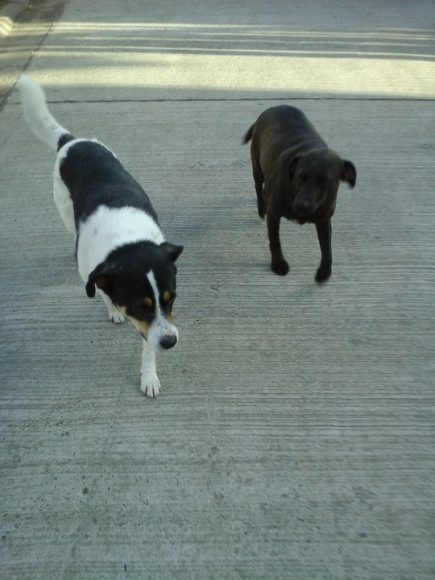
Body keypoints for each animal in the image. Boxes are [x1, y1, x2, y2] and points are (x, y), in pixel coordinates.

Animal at [17, 73, 182, 398]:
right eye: (138, 306)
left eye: (172, 299)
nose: (171, 342)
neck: (126, 240)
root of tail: (71, 140)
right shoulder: (93, 272)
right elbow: (101, 290)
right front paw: (113, 309)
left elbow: (148, 346)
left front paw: (149, 375)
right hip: (65, 212)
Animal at [244, 107, 356, 284]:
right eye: (300, 176)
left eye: (325, 181)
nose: (300, 206)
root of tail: (273, 107)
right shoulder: (274, 214)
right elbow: (275, 241)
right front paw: (278, 264)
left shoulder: (324, 221)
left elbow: (327, 249)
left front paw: (324, 272)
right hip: (257, 164)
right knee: (257, 185)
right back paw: (262, 209)